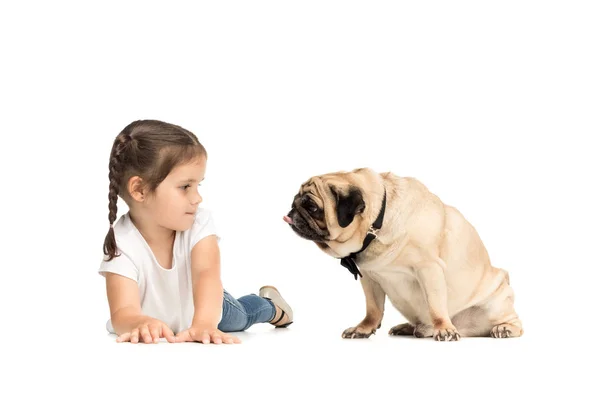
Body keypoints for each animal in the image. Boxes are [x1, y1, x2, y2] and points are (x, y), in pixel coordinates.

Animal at [284, 168, 524, 340]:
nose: (291, 212)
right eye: (295, 201)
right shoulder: (370, 278)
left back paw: (504, 329)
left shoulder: (429, 269)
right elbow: (373, 309)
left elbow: (436, 306)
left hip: (495, 305)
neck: (376, 224)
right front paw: (363, 329)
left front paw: (444, 329)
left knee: (514, 322)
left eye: (312, 207)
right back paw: (409, 328)